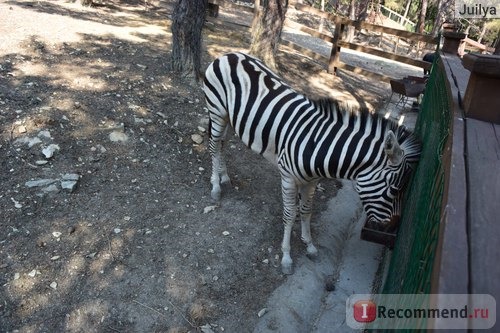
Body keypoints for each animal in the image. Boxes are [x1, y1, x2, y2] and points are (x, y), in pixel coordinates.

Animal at [201, 52, 420, 274]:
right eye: (395, 189)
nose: (392, 230)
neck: (318, 145)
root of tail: (229, 55)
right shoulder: (288, 178)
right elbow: (290, 214)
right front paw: (286, 258)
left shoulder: (312, 181)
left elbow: (306, 211)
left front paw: (310, 245)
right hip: (217, 111)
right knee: (214, 147)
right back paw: (215, 186)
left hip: (230, 117)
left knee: (222, 145)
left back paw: (224, 177)